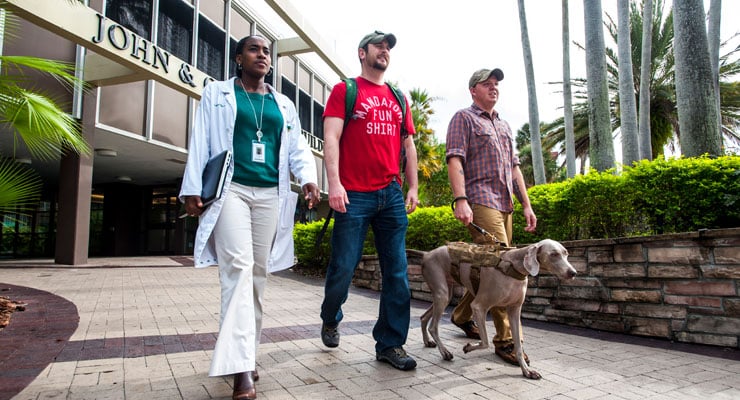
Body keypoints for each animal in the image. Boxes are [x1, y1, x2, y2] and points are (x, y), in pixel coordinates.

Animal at [422, 239, 580, 380]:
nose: (573, 273)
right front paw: (468, 347)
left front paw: (526, 370)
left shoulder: (514, 310)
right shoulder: (478, 306)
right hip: (441, 292)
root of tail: (427, 254)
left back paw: (428, 341)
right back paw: (444, 352)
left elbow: (518, 345)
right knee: (433, 327)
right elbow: (485, 342)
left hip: (445, 294)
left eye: (566, 253)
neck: (514, 267)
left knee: (424, 317)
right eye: (554, 254)